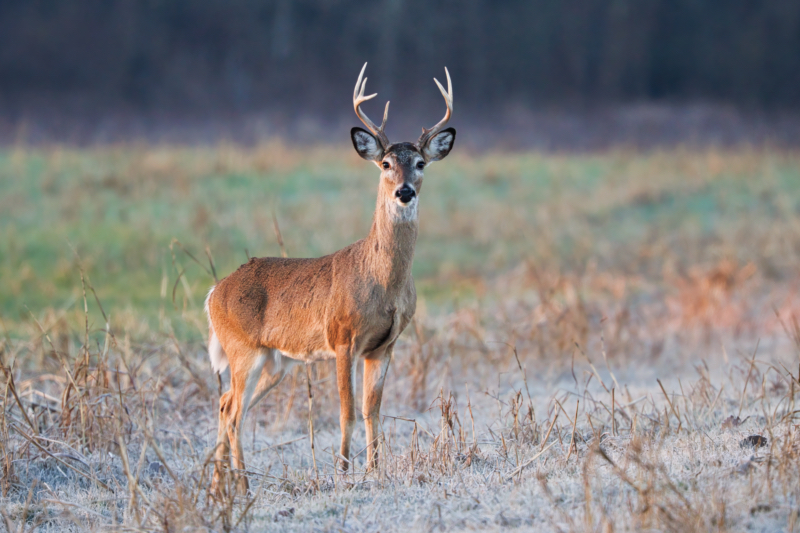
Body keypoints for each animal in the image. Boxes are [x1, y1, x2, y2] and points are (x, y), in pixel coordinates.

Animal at [205, 62, 456, 490]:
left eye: (421, 163)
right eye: (386, 164)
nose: (404, 192)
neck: (382, 284)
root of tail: (214, 292)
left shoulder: (383, 346)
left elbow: (373, 411)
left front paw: (374, 470)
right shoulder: (342, 338)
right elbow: (348, 411)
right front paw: (342, 471)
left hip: (273, 361)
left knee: (225, 405)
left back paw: (217, 484)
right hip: (243, 349)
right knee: (235, 412)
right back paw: (242, 483)